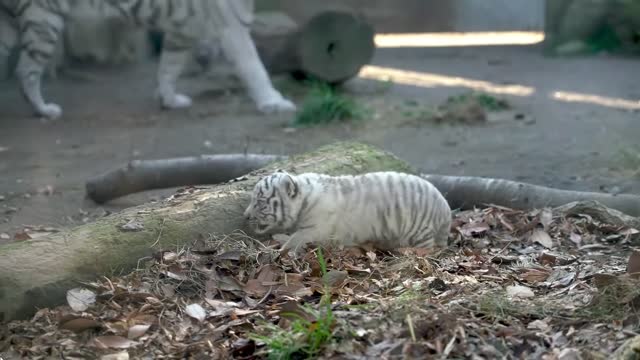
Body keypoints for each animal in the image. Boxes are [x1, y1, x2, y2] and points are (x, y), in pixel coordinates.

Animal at [0, 0, 296, 120]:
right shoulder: (231, 25)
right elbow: (254, 66)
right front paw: (273, 102)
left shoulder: (181, 31)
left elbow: (168, 67)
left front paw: (169, 100)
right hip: (43, 20)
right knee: (26, 70)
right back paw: (44, 110)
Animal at [242, 169, 452, 252]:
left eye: (260, 202)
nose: (245, 216)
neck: (304, 201)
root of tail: (446, 208)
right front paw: (279, 237)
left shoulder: (315, 229)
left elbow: (296, 238)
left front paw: (280, 250)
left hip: (419, 232)